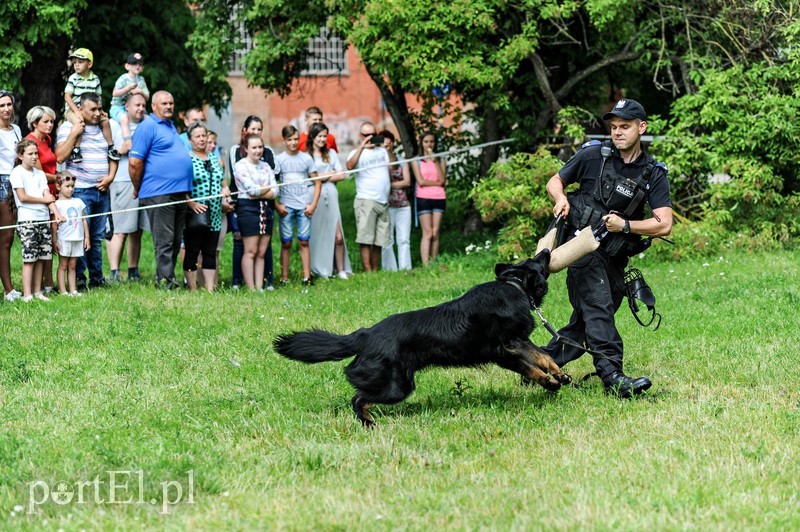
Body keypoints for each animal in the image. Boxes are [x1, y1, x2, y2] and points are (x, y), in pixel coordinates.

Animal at [276, 251, 568, 426]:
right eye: (536, 260)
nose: (546, 251)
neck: (514, 285)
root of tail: (366, 333)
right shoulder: (510, 345)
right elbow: (537, 359)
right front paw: (552, 379)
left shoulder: (509, 351)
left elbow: (539, 361)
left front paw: (556, 377)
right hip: (397, 386)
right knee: (358, 398)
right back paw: (368, 423)